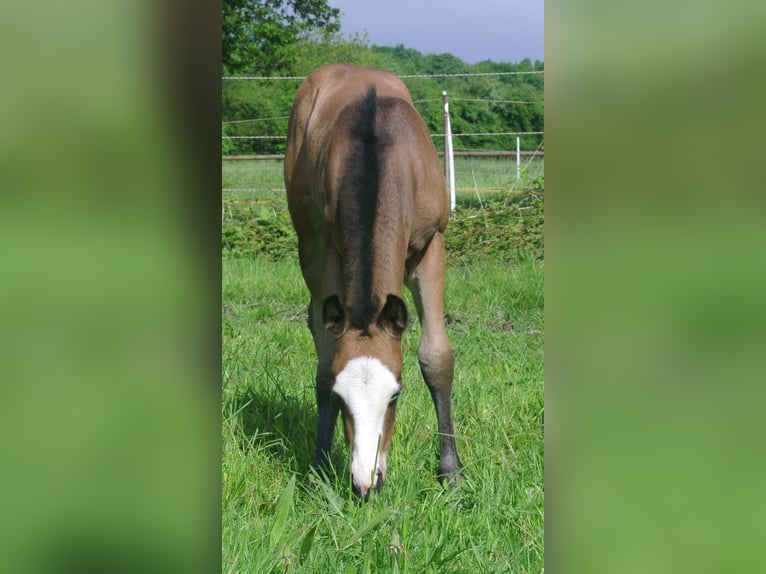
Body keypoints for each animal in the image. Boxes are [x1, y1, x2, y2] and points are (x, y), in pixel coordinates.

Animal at [284, 63, 460, 500]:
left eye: (395, 393)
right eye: (341, 397)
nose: (366, 483)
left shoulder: (432, 247)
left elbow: (436, 357)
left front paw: (450, 473)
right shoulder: (332, 250)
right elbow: (326, 362)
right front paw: (319, 466)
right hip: (308, 242)